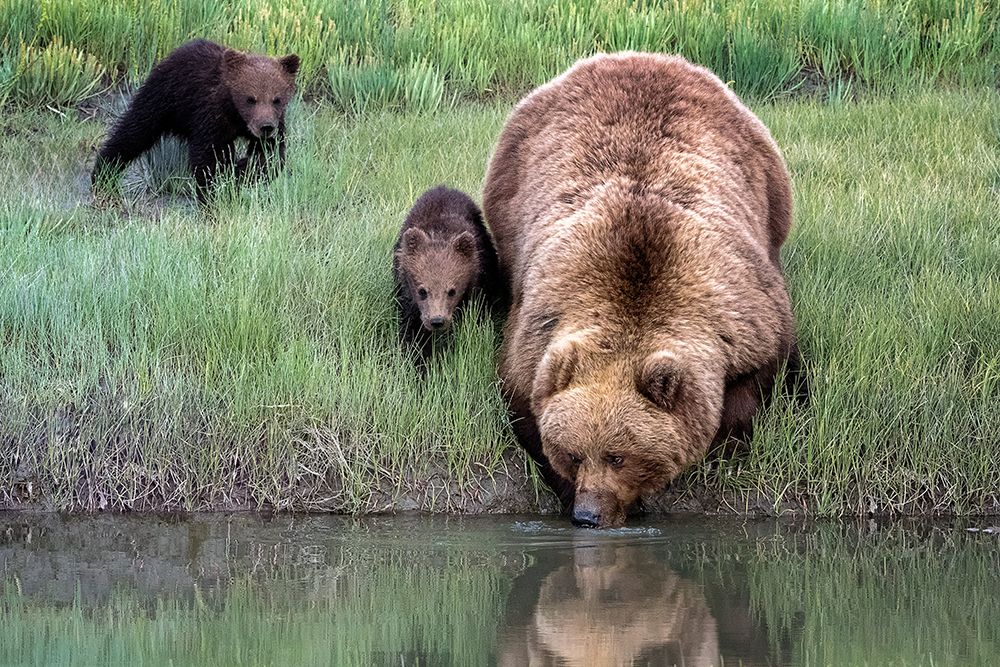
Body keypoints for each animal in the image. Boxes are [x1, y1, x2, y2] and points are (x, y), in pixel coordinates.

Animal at [92, 37, 298, 201]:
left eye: (277, 99)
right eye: (250, 98)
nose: (265, 127)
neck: (235, 115)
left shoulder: (274, 125)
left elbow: (272, 156)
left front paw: (240, 170)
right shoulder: (210, 116)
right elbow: (206, 158)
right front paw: (214, 194)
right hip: (163, 97)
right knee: (135, 131)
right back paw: (102, 175)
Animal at [480, 52, 800, 528]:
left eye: (618, 456)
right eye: (575, 454)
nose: (588, 515)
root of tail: (634, 56)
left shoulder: (744, 314)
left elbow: (756, 382)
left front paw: (721, 447)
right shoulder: (536, 331)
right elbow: (528, 411)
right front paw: (565, 491)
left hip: (768, 182)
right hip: (507, 191)